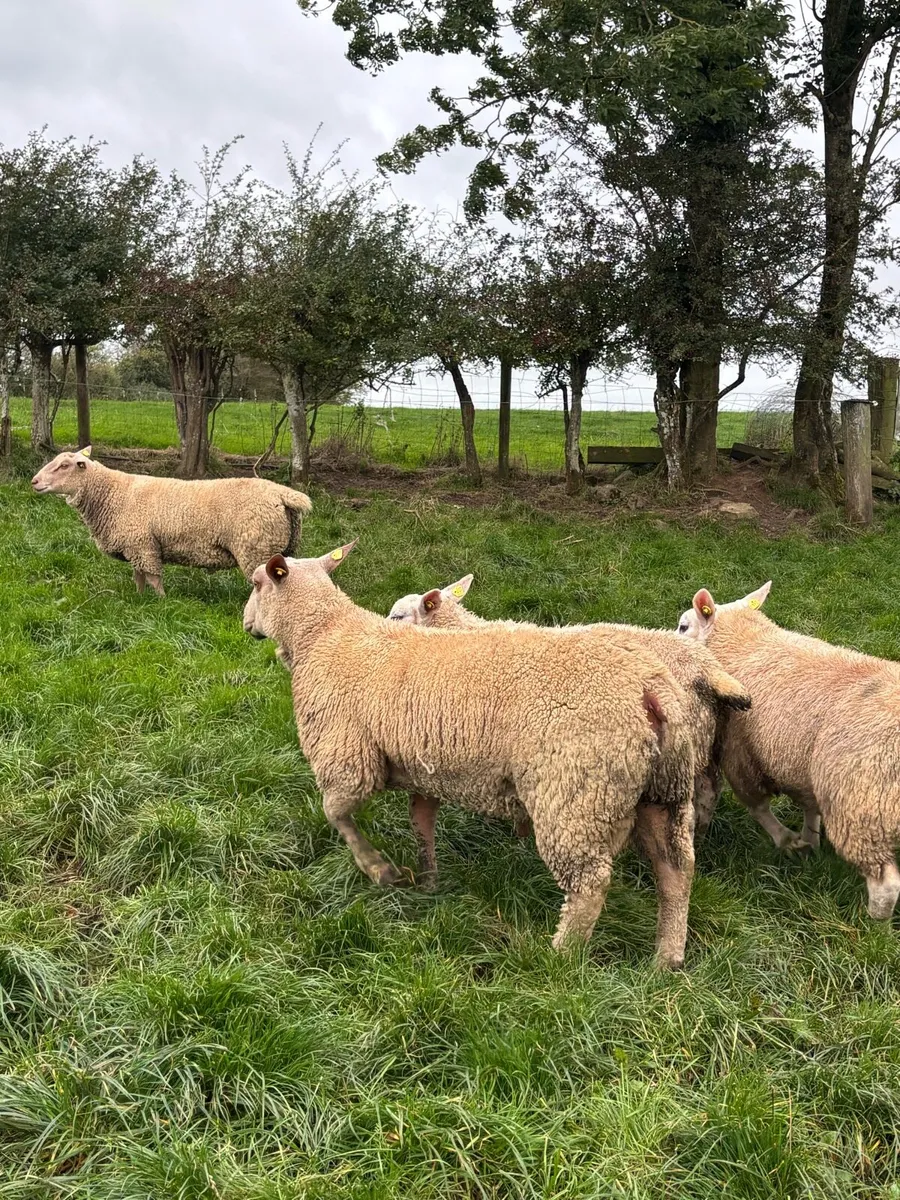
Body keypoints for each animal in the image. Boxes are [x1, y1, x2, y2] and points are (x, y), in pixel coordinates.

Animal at [31, 446, 312, 596]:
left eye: (64, 466)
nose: (34, 481)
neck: (112, 494)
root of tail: (281, 494)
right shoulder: (136, 546)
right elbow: (138, 577)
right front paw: (139, 598)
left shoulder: (144, 546)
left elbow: (154, 578)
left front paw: (161, 601)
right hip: (282, 549)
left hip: (256, 549)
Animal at [244, 545, 700, 968]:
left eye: (255, 583)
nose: (245, 623)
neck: (322, 634)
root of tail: (649, 685)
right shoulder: (425, 768)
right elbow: (421, 823)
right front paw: (428, 881)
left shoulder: (348, 757)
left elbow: (336, 813)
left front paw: (381, 870)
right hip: (664, 789)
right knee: (676, 868)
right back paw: (666, 958)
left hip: (574, 793)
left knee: (589, 883)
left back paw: (559, 956)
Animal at [677, 581, 900, 919]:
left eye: (683, 626)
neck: (745, 641)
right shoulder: (802, 765)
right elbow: (810, 808)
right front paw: (810, 842)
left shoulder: (741, 753)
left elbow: (757, 807)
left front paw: (788, 841)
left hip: (862, 808)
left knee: (886, 885)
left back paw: (873, 923)